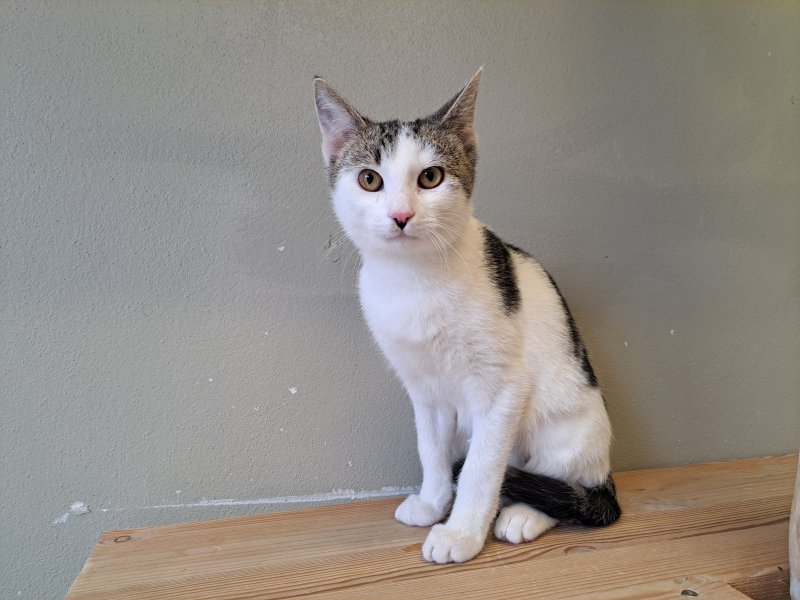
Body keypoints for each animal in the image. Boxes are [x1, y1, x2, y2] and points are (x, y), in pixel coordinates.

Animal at [313, 68, 621, 564]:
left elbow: (479, 468)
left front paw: (460, 533)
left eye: (431, 177)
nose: (401, 215)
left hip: (567, 422)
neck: (415, 281)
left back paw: (523, 513)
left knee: (565, 484)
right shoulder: (423, 390)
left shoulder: (503, 392)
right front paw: (434, 502)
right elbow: (432, 449)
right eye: (369, 180)